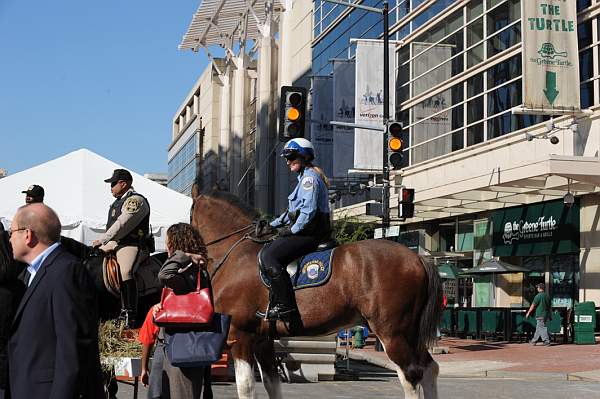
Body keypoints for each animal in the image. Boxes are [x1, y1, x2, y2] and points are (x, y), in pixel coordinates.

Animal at [192, 192, 440, 398]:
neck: (238, 255)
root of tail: (417, 258)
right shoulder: (262, 339)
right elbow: (272, 384)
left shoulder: (240, 335)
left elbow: (245, 386)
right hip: (411, 333)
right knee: (430, 369)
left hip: (393, 332)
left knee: (411, 375)